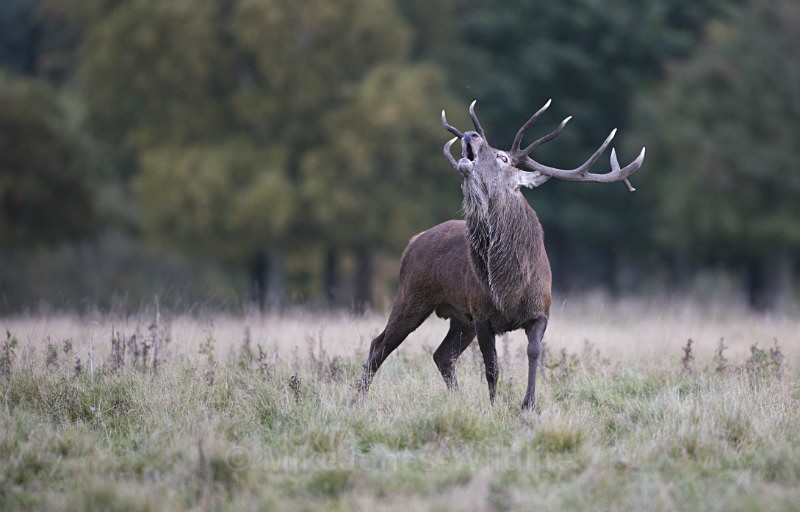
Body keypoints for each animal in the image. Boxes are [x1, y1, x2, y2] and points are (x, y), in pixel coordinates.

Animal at [356, 99, 645, 410]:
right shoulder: (483, 315)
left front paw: (528, 404)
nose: (470, 135)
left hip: (460, 318)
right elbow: (492, 367)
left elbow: (534, 353)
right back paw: (357, 399)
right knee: (380, 344)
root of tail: (412, 242)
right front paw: (495, 407)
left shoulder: (541, 311)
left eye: (503, 158)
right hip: (413, 295)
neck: (510, 288)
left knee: (442, 354)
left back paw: (457, 401)